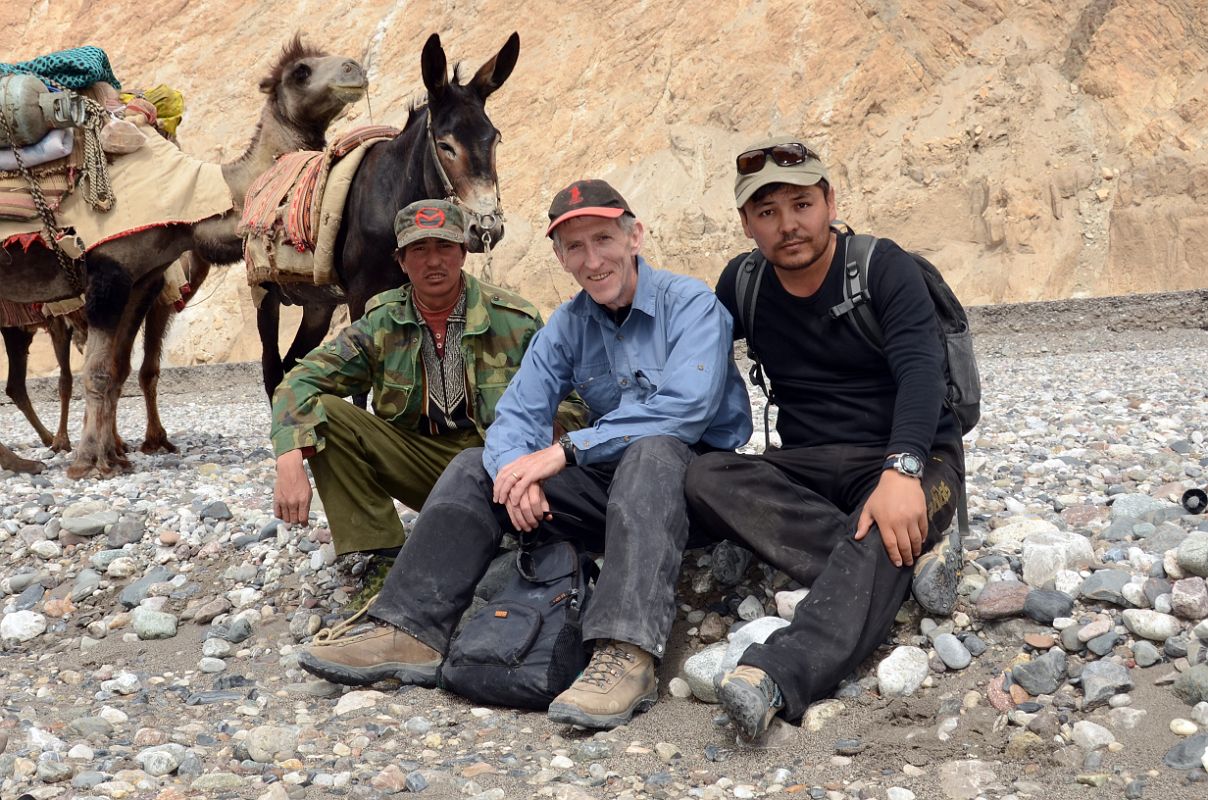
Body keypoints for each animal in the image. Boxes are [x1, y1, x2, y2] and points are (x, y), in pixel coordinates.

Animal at [1, 36, 367, 476]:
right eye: (301, 72)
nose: (354, 69)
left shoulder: (142, 279)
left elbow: (118, 368)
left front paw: (116, 456)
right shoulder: (109, 271)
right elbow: (98, 372)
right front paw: (89, 461)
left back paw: (20, 460)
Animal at [734, 221, 980, 531]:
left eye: (801, 209)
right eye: (768, 213)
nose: (789, 229)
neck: (808, 275)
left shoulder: (894, 269)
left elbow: (916, 360)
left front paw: (895, 500)